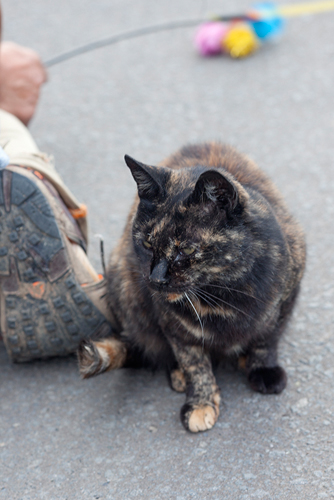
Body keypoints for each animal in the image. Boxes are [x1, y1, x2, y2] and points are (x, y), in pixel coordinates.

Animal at [77, 143, 306, 432]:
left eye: (185, 250)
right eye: (147, 243)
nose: (155, 278)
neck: (222, 295)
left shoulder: (287, 293)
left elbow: (267, 338)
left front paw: (263, 370)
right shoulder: (175, 327)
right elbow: (194, 362)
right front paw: (200, 403)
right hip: (125, 283)